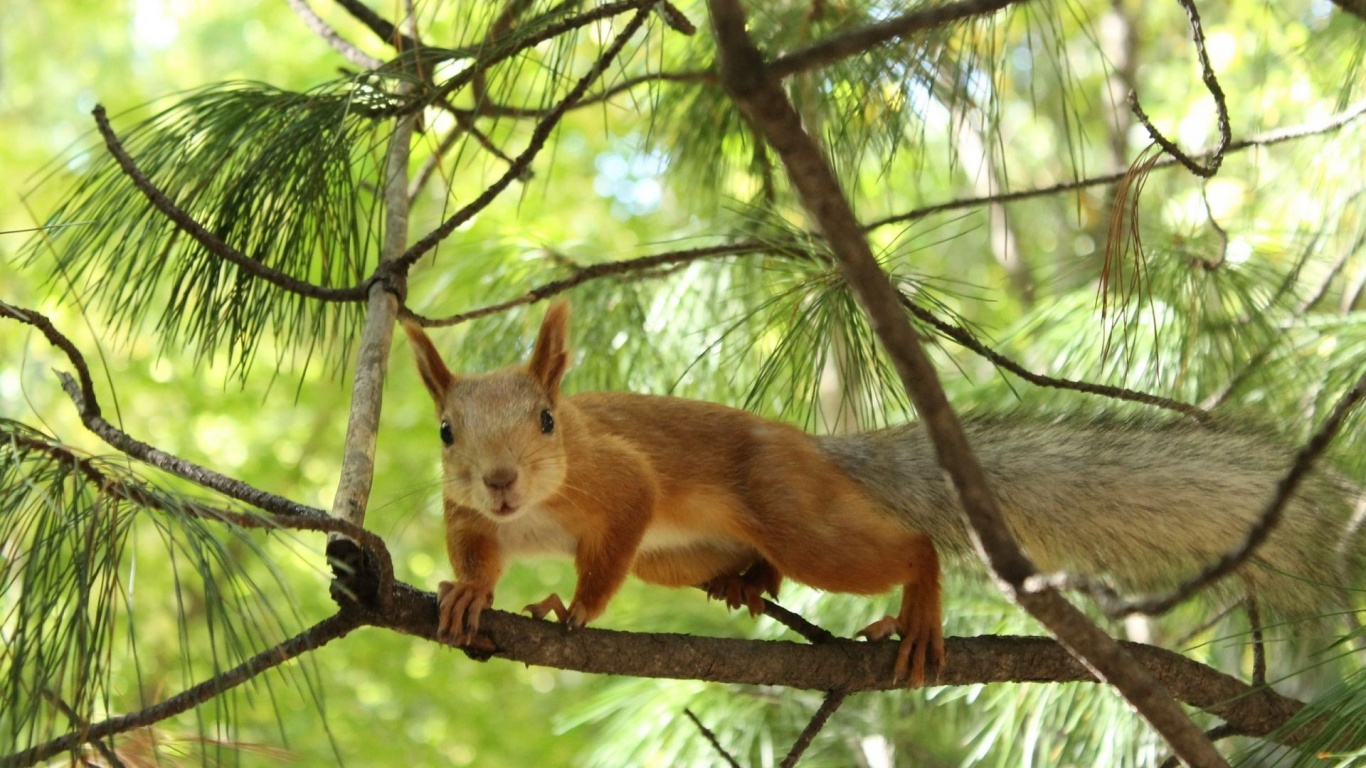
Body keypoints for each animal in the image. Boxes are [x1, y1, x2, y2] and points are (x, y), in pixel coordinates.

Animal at [398, 299, 945, 680]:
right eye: (446, 431)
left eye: (547, 420)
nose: (499, 479)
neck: (531, 509)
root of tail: (812, 448)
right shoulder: (466, 512)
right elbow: (476, 555)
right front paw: (470, 592)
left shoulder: (620, 476)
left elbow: (619, 532)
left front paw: (574, 610)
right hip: (670, 558)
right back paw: (746, 581)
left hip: (794, 510)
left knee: (913, 546)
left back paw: (918, 616)